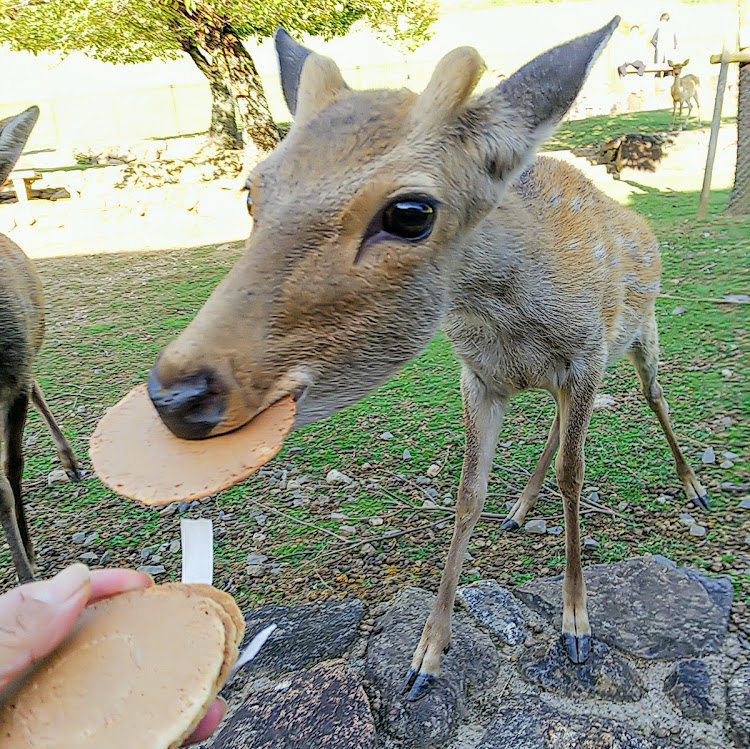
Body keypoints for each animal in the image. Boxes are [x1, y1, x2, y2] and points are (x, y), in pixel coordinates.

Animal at [145, 20, 712, 704]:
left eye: (410, 212)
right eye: (252, 192)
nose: (176, 394)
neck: (514, 315)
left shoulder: (584, 356)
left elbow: (575, 478)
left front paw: (576, 627)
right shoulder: (480, 377)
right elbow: (468, 496)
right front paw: (425, 657)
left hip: (640, 337)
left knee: (653, 397)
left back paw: (695, 488)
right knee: (555, 427)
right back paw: (519, 511)